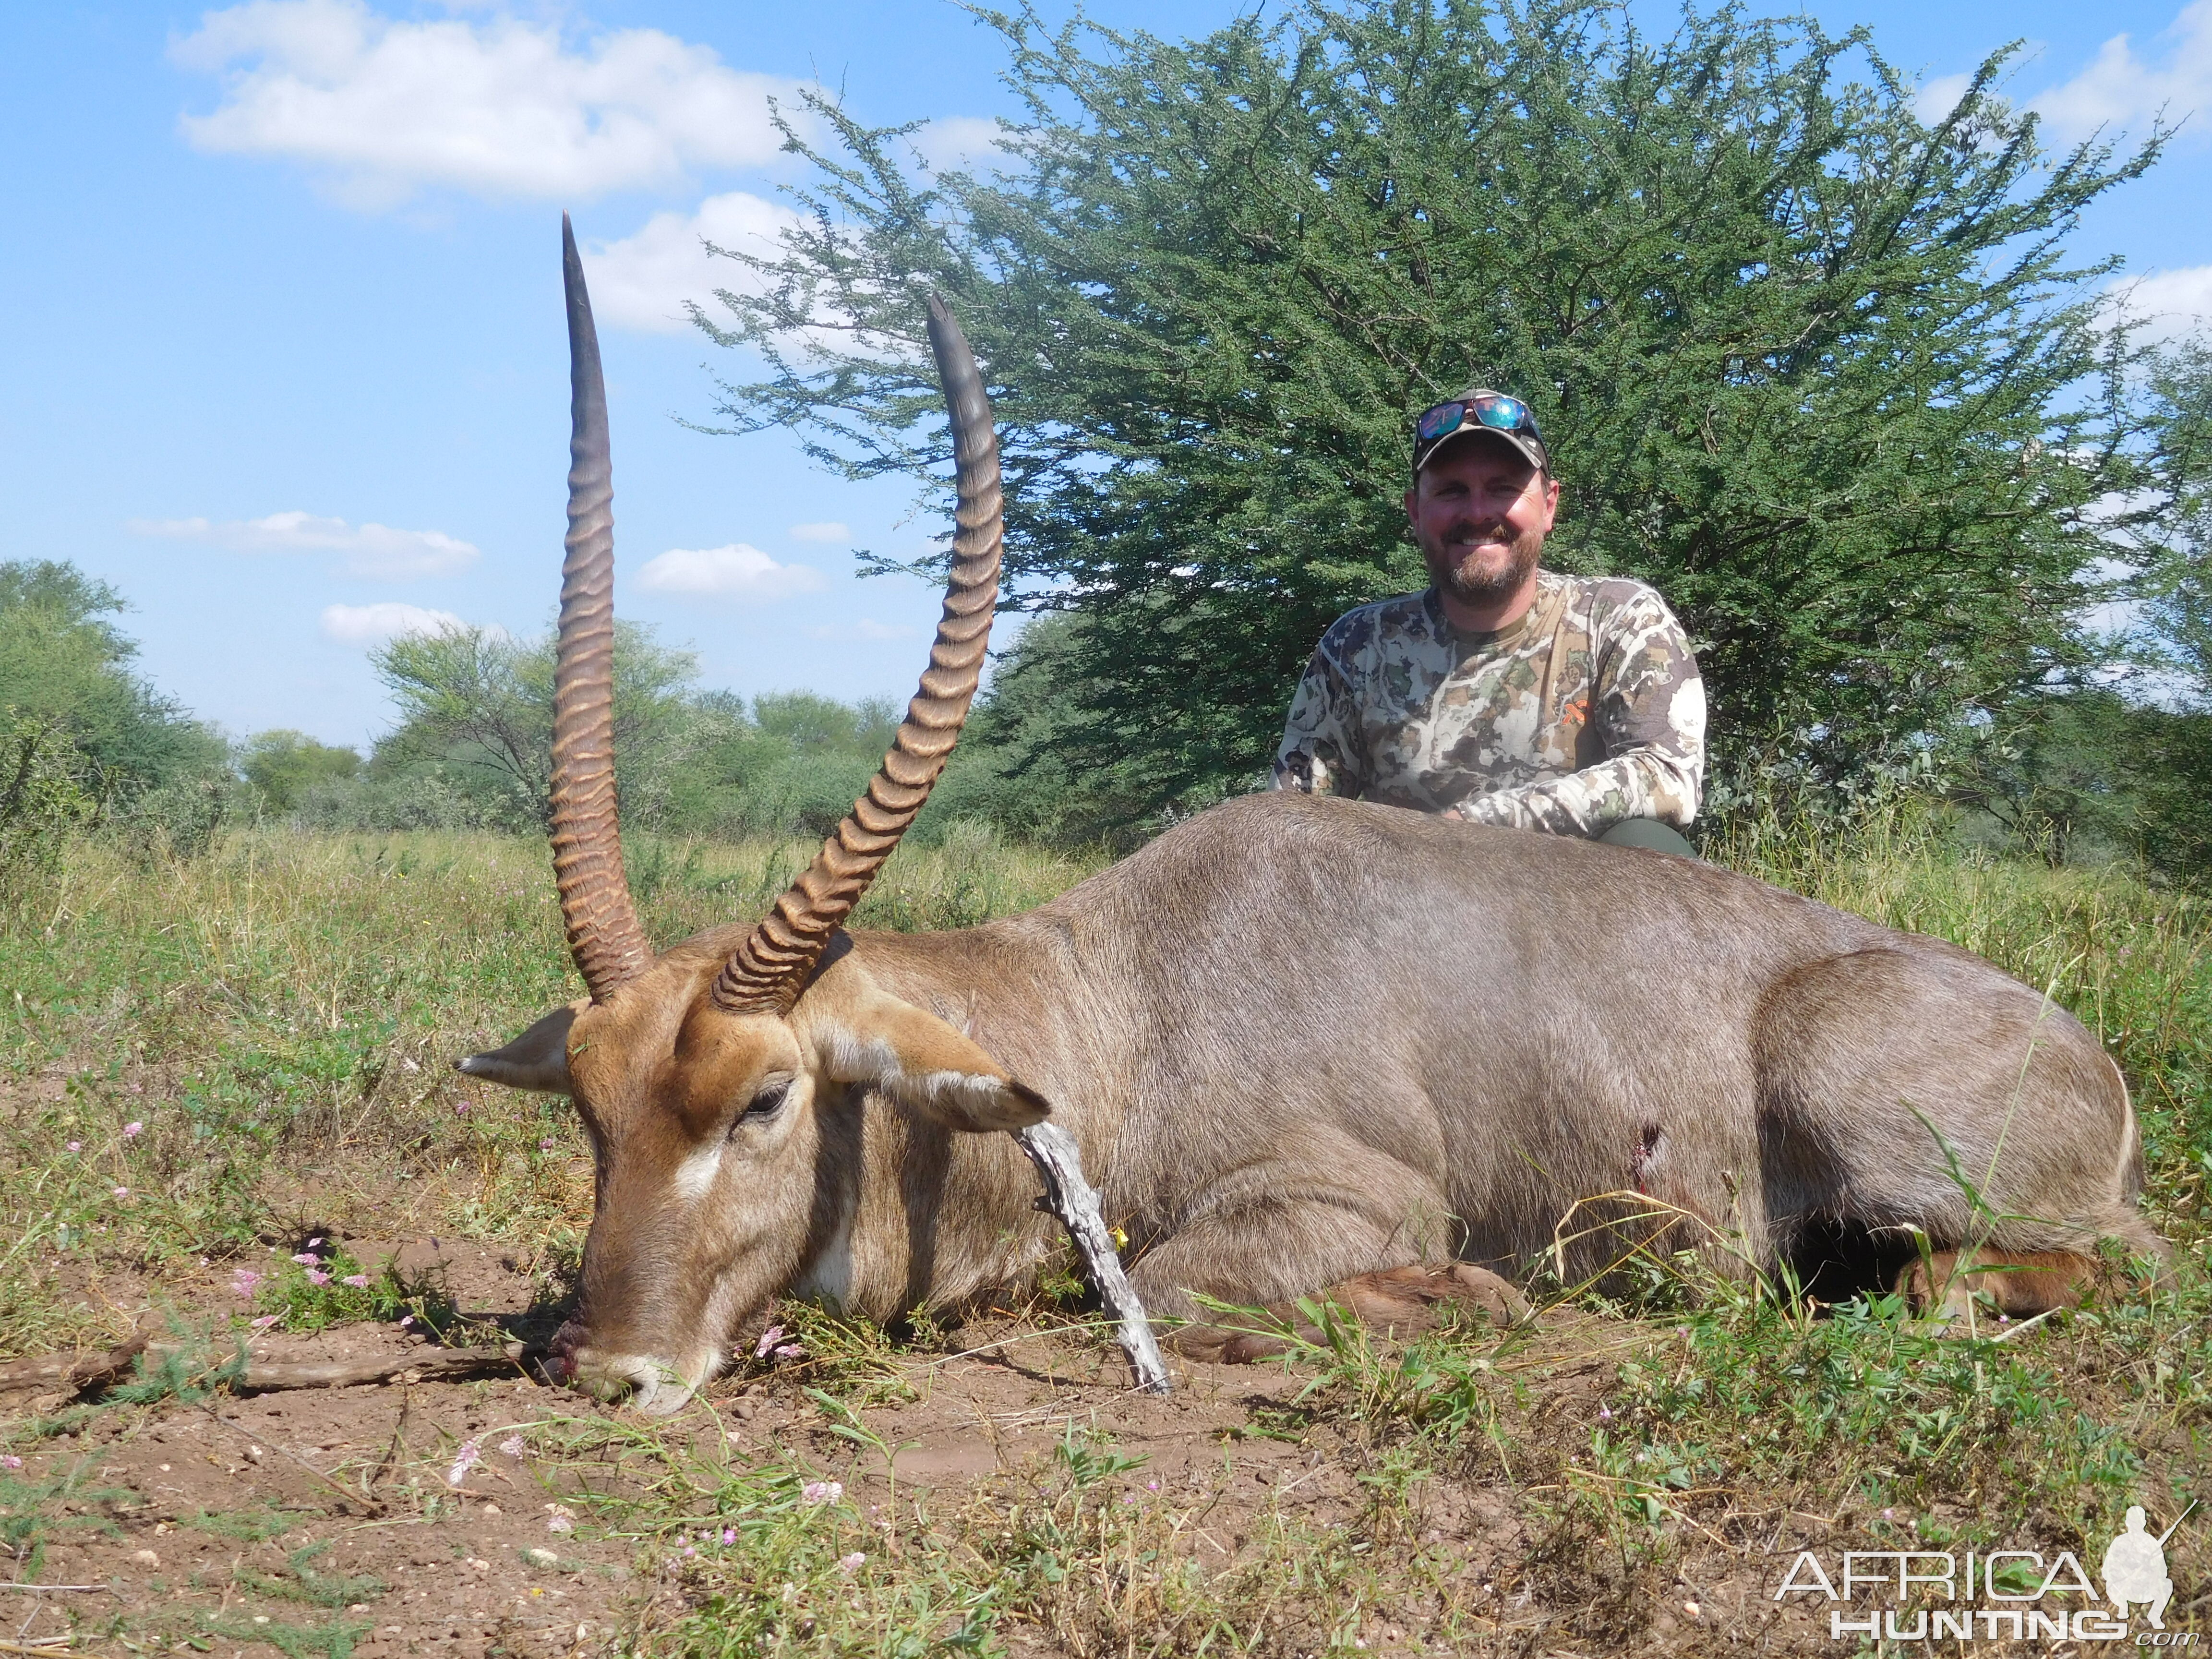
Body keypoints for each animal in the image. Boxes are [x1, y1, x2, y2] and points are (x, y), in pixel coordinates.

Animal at [457, 224, 2167, 1416]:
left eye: (764, 1099)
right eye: (589, 1109)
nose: (603, 1367)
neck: (1118, 1003)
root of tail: (2090, 1054)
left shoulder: (1353, 1195)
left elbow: (1183, 1281)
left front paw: (1476, 1302)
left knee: (2097, 1264)